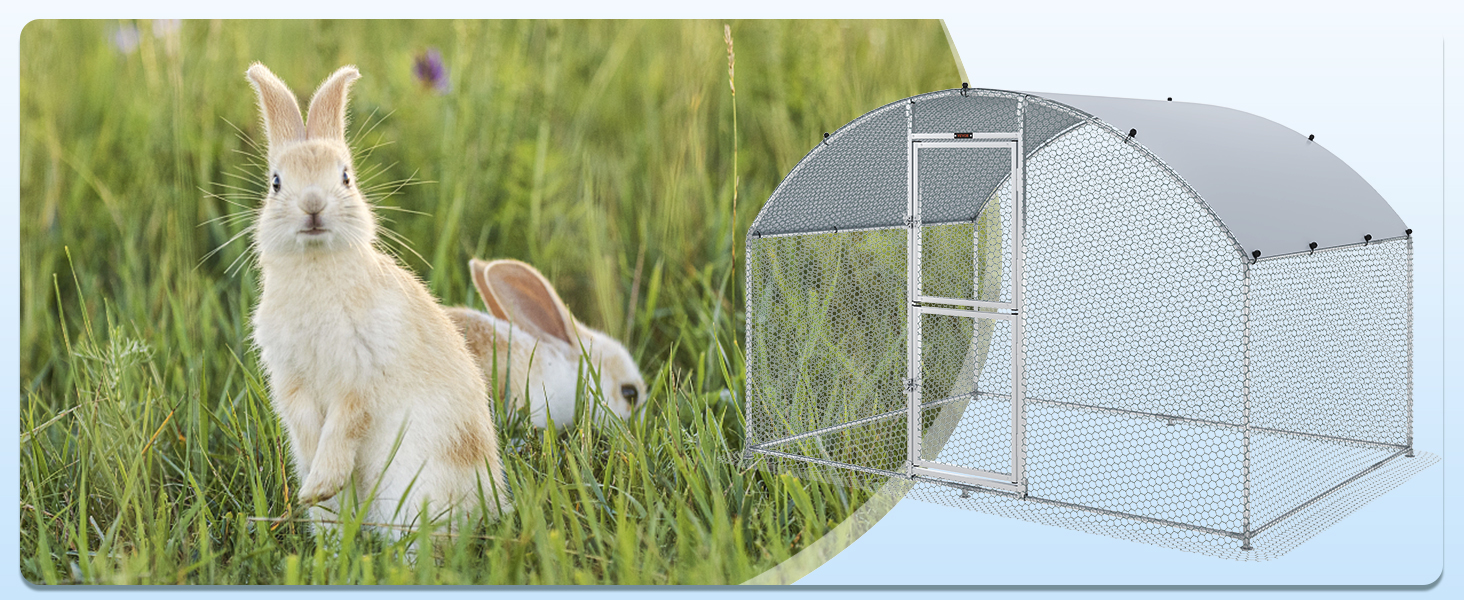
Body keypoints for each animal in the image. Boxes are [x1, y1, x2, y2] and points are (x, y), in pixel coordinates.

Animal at [244, 63, 510, 537]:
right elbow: (307, 426)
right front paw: (314, 487)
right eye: (275, 182)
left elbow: (345, 425)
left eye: (345, 176)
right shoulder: (291, 378)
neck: (317, 266)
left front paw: (320, 481)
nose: (313, 205)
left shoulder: (361, 372)